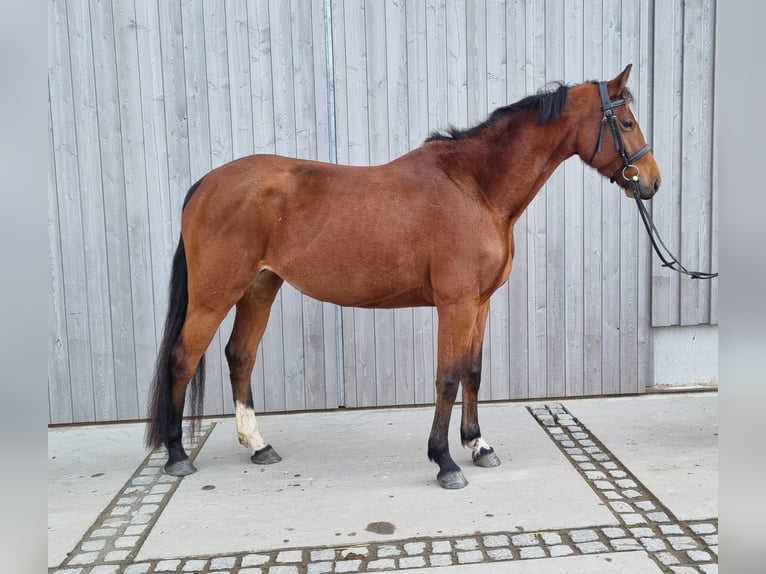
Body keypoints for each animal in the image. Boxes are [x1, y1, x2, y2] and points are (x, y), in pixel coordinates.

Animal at [146, 64, 661, 489]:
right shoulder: (456, 303)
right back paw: (176, 455)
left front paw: (478, 445)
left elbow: (473, 371)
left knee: (240, 356)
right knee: (182, 358)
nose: (652, 182)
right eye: (626, 123)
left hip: (259, 288)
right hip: (215, 294)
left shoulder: (480, 303)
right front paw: (445, 462)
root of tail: (205, 185)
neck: (475, 188)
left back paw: (258, 445)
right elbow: (447, 377)